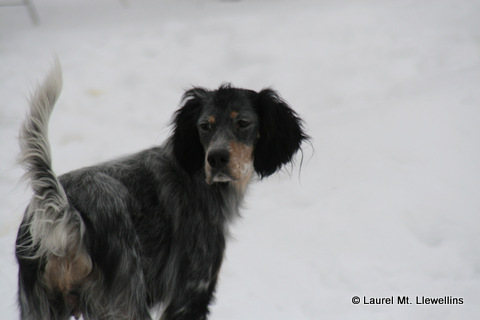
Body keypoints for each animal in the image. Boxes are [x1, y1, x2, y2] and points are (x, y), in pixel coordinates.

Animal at [15, 61, 308, 318]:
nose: (216, 158)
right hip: (127, 300)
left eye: (243, 123)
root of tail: (67, 210)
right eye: (205, 126)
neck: (197, 175)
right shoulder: (190, 293)